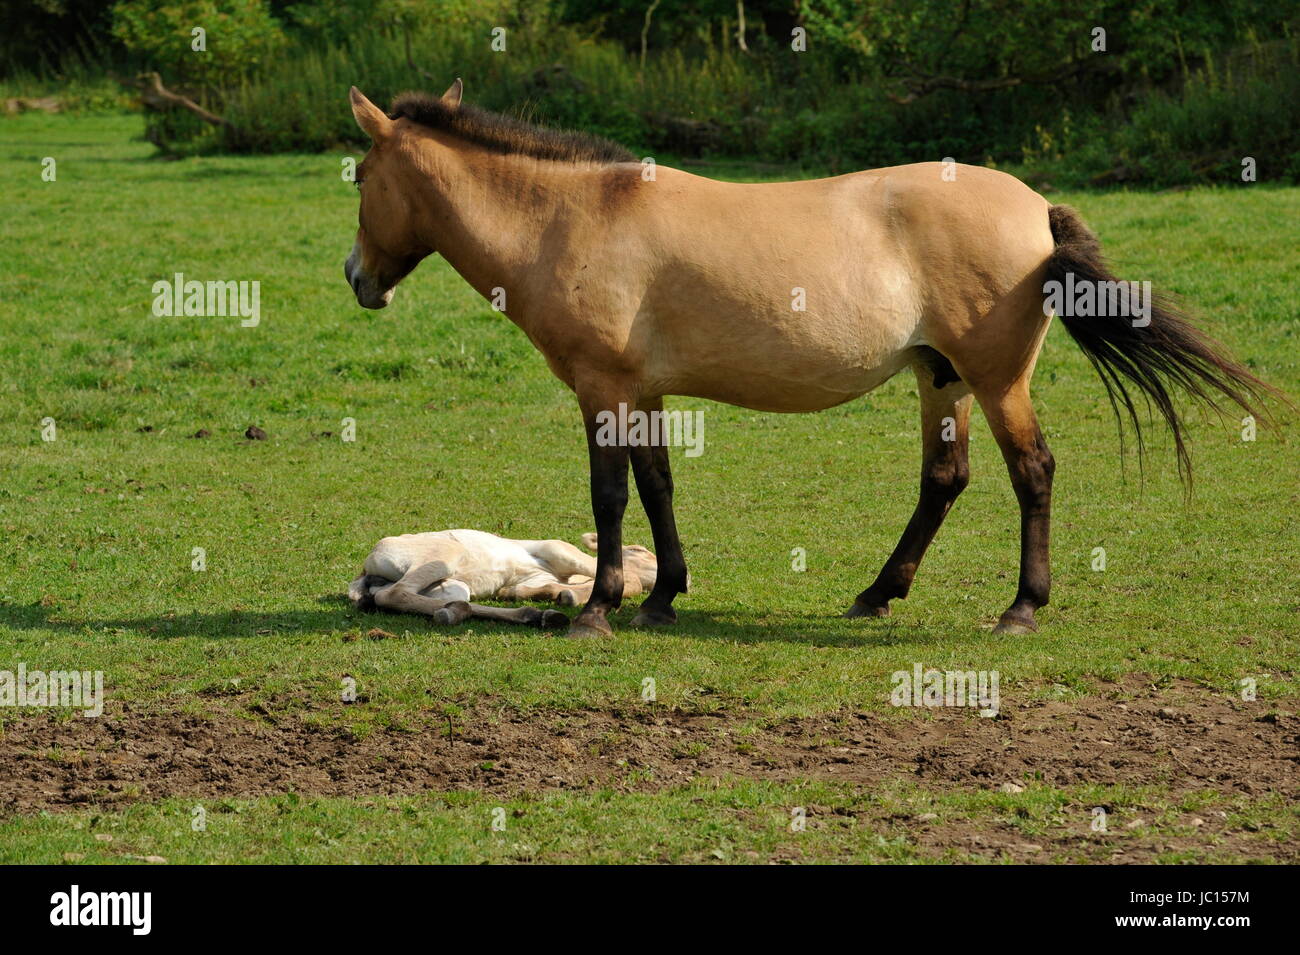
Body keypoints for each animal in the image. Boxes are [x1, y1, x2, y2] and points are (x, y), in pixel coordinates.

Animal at [348, 529, 658, 628]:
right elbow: (627, 578)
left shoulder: (533, 578)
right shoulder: (556, 548)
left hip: (451, 587)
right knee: (391, 594)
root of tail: (365, 570)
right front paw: (570, 596)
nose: (659, 567)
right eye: (639, 549)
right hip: (446, 553)